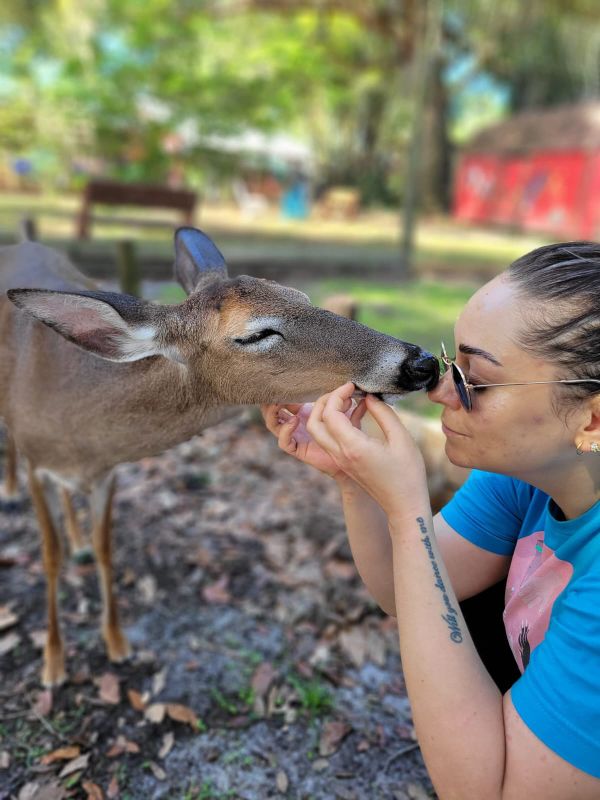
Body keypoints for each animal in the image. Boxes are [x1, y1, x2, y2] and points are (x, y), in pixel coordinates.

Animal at [1, 227, 440, 688]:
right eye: (254, 334)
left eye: (302, 297)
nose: (421, 363)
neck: (77, 426)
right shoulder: (37, 463)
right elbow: (50, 556)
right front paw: (53, 663)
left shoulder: (108, 473)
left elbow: (106, 548)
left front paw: (117, 642)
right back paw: (10, 490)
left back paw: (77, 536)